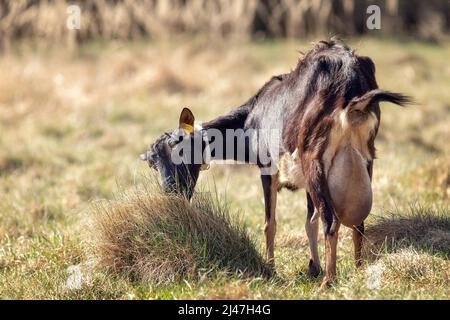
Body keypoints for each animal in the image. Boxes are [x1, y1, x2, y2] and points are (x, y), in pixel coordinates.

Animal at [141, 39, 412, 288]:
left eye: (182, 148)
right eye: (154, 163)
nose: (172, 192)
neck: (252, 116)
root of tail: (349, 79)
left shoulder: (267, 169)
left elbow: (269, 223)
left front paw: (272, 270)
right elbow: (309, 222)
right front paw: (312, 267)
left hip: (315, 163)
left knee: (331, 221)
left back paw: (329, 281)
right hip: (364, 160)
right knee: (357, 222)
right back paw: (358, 271)